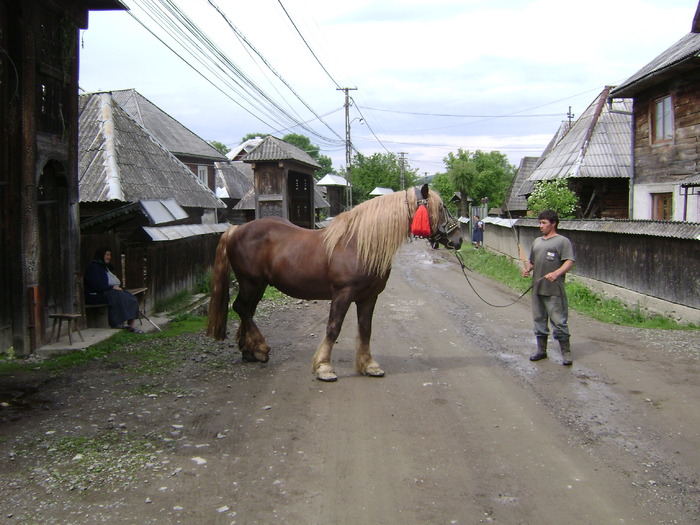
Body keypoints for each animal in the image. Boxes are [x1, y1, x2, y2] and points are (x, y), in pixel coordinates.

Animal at [205, 185, 462, 380]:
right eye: (441, 207)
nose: (459, 239)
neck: (358, 244)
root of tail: (237, 229)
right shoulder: (342, 294)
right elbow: (333, 328)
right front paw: (323, 367)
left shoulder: (369, 297)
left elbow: (365, 329)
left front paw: (369, 365)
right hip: (251, 283)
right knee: (241, 308)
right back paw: (260, 348)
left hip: (258, 286)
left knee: (246, 310)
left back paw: (250, 351)